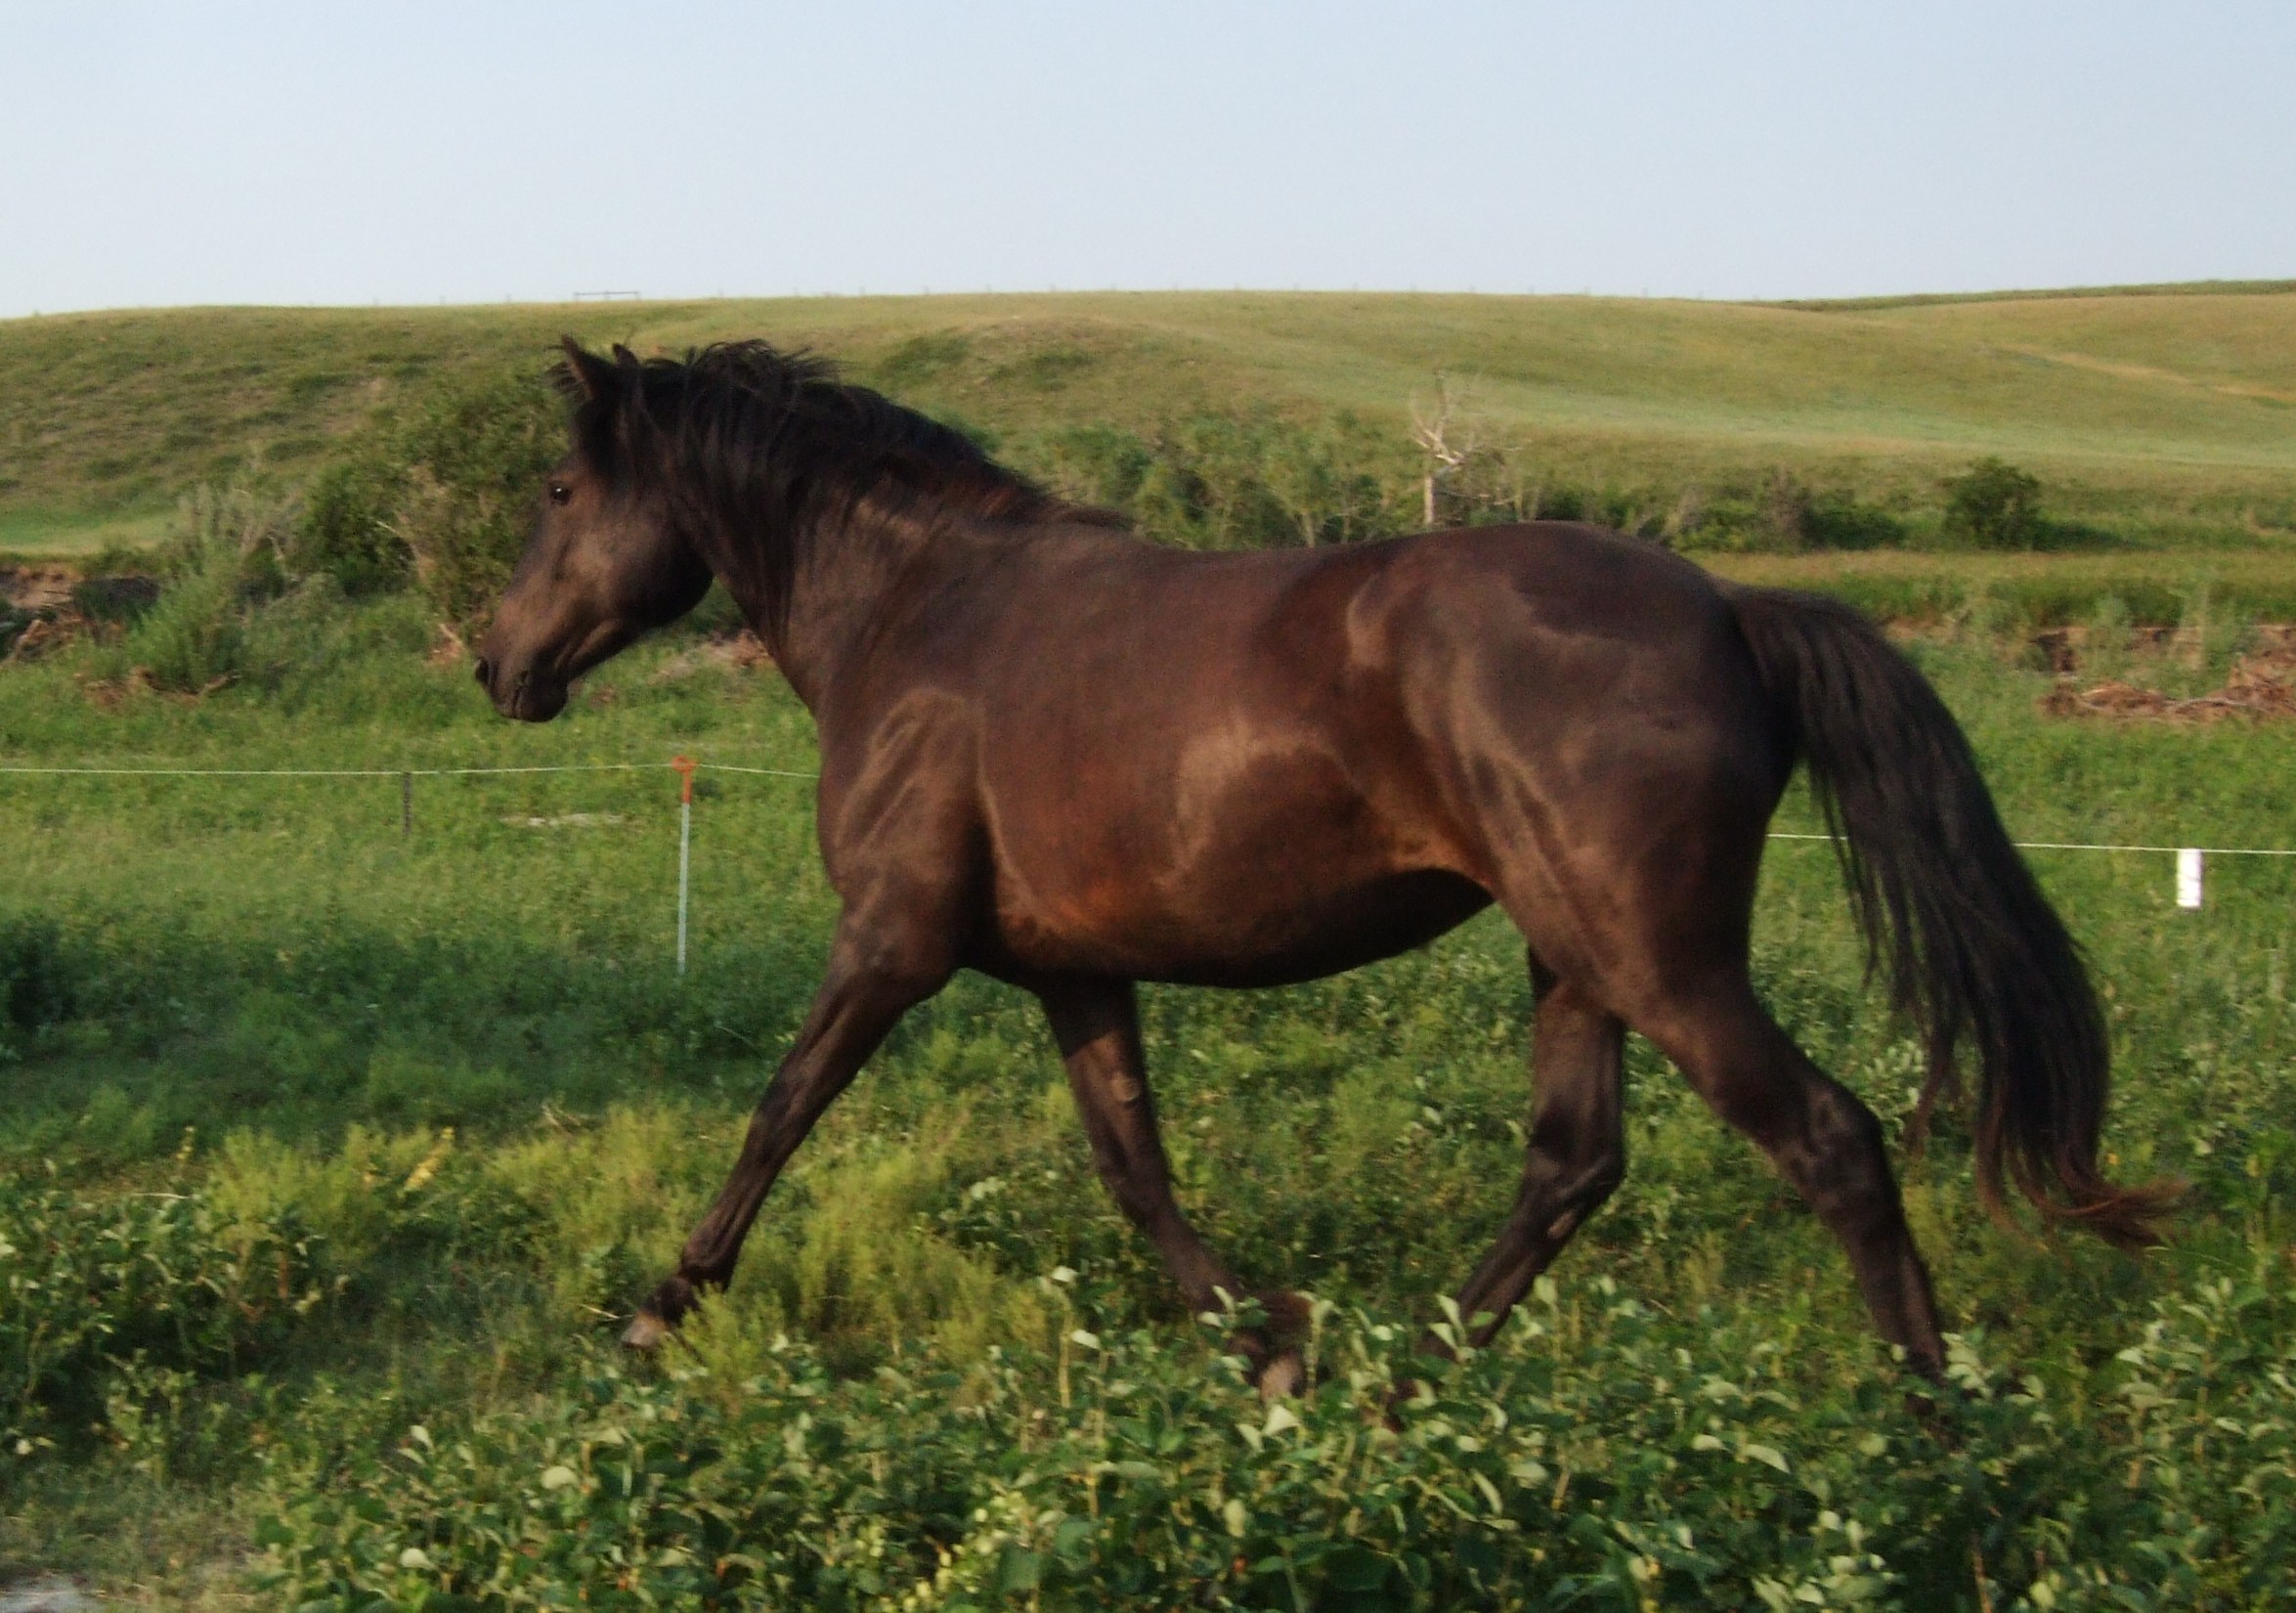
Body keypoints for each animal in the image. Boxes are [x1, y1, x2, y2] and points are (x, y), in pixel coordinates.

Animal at [476, 338, 2165, 1393]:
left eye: (559, 493)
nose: (499, 663)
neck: (919, 615)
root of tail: (1729, 610)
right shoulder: (1074, 967)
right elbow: (1133, 1164)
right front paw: (1271, 1335)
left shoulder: (890, 940)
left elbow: (778, 1110)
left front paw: (657, 1309)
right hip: (1575, 958)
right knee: (1572, 1162)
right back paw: (1408, 1376)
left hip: (1660, 963)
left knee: (1830, 1143)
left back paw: (1937, 1426)